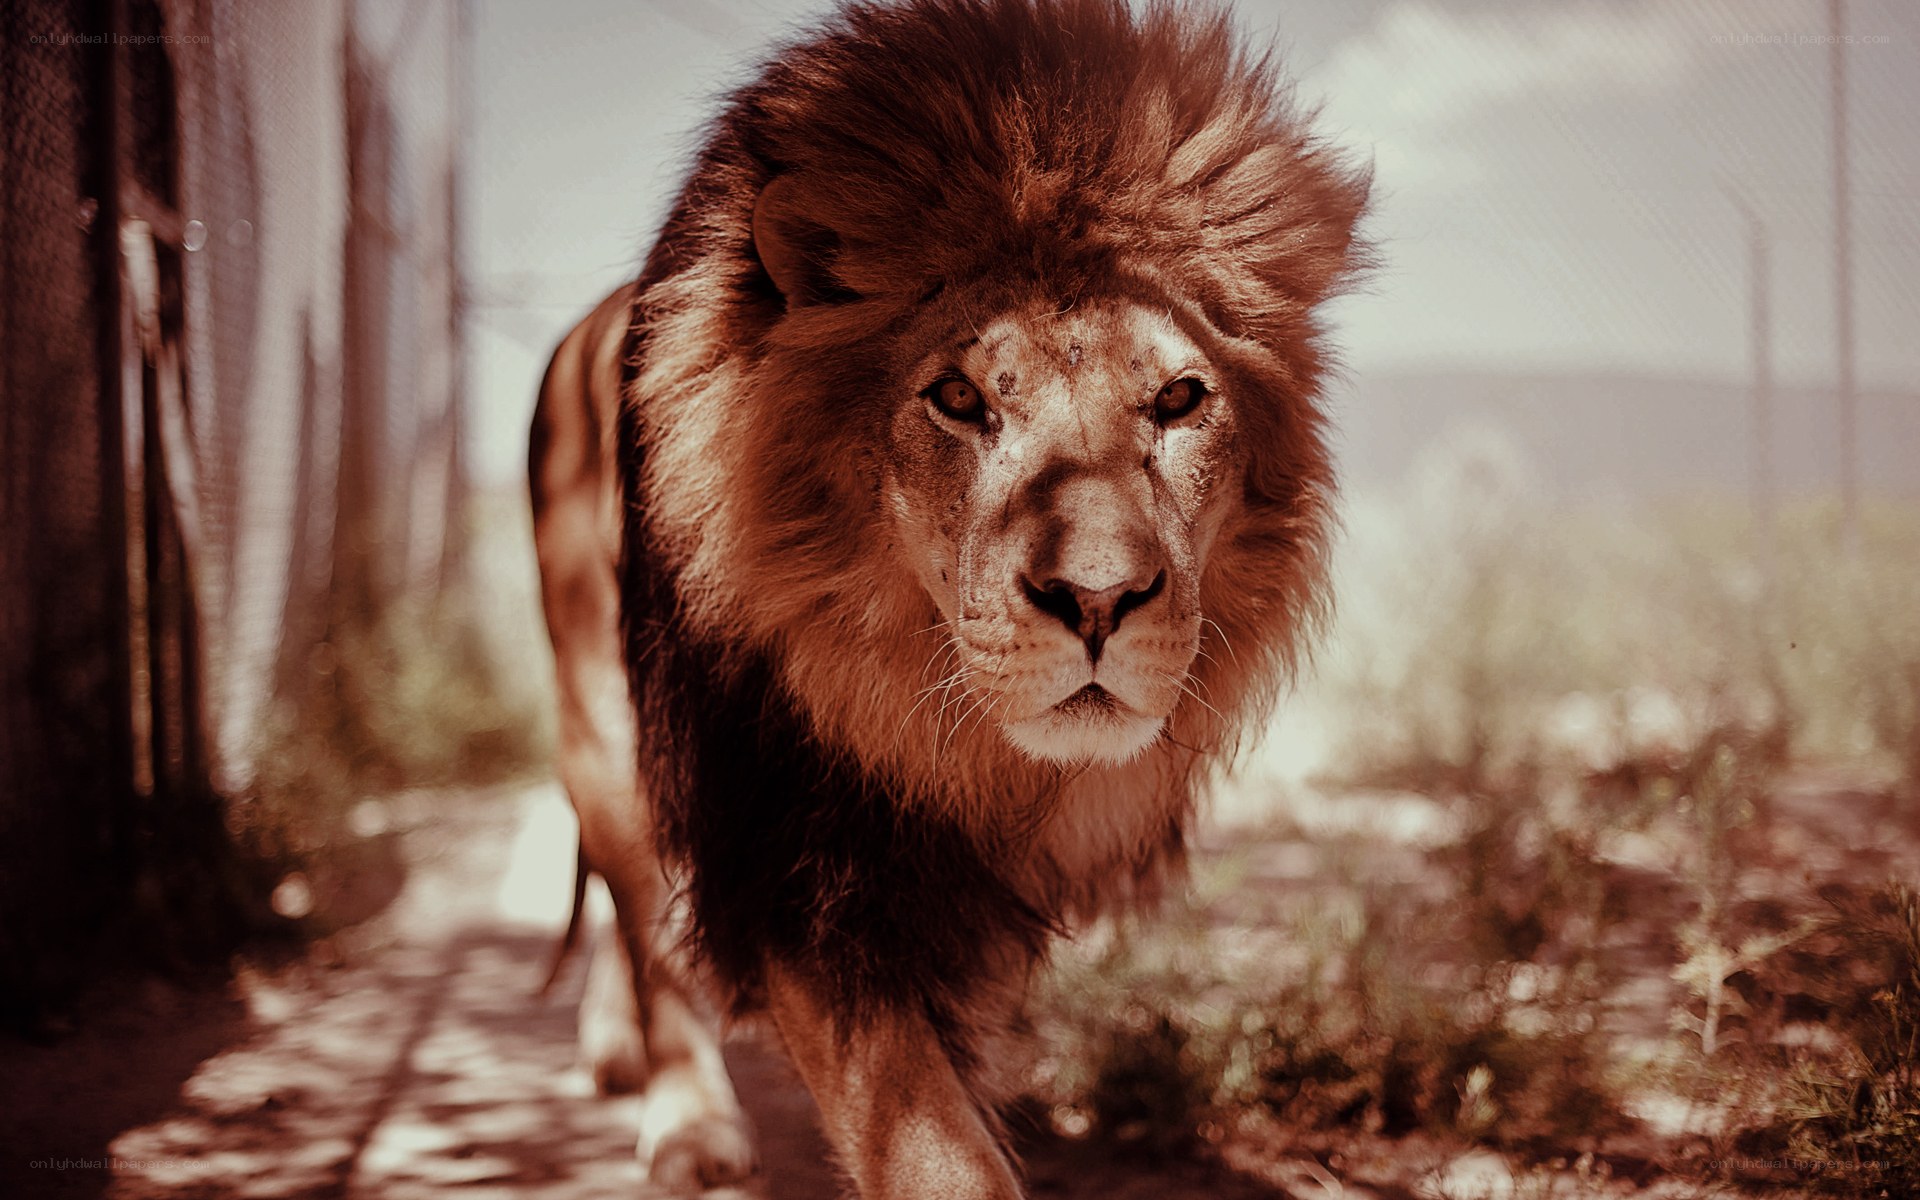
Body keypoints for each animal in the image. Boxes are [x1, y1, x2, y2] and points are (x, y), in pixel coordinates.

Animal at [529, 0, 1370, 1194]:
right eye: (960, 399)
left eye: (1178, 399)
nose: (1100, 600)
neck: (954, 740)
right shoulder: (793, 848)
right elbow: (931, 1141)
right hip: (599, 710)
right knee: (643, 907)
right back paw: (686, 1119)